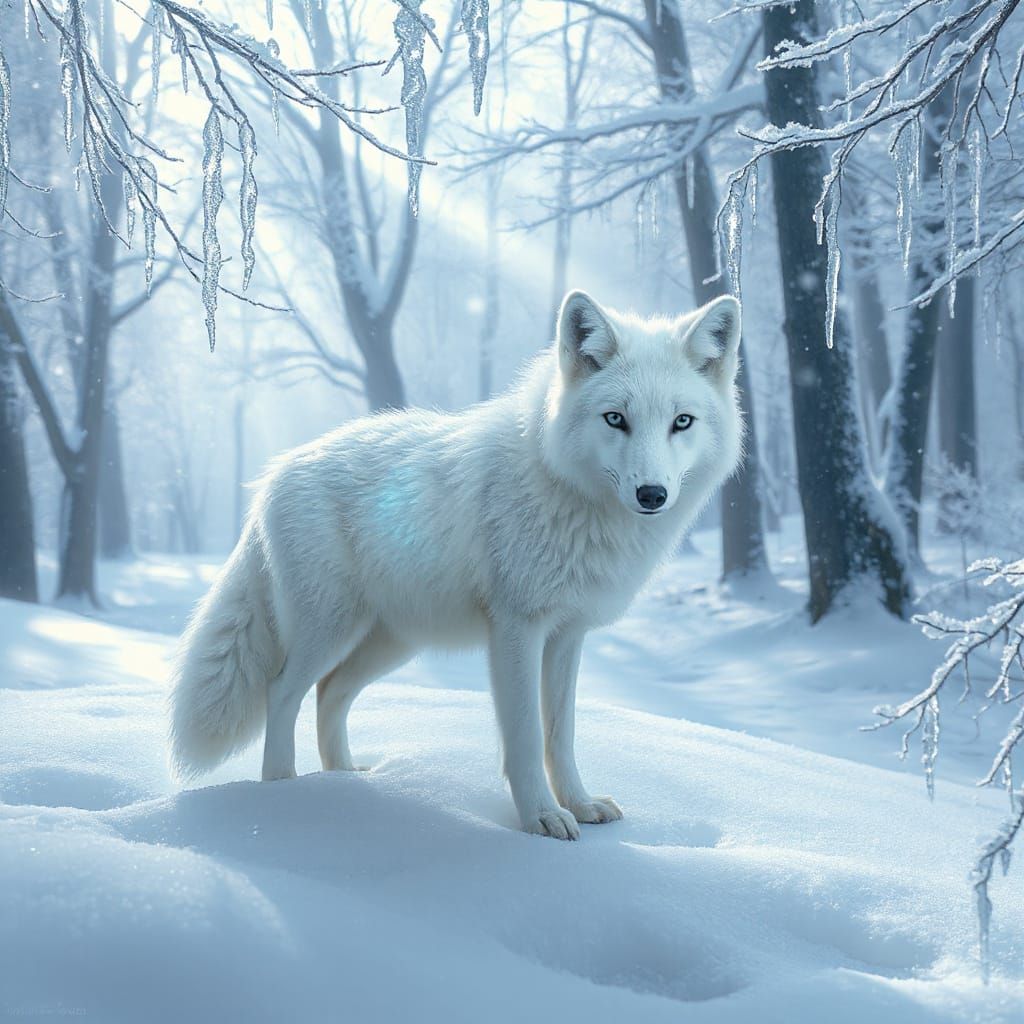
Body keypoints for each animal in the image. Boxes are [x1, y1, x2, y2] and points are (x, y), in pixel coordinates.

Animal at [169, 290, 744, 839]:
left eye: (681, 422)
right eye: (616, 419)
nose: (652, 494)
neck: (565, 492)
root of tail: (273, 474)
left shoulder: (568, 635)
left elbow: (561, 733)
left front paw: (579, 805)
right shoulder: (517, 628)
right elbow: (526, 735)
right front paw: (541, 819)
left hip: (391, 642)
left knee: (330, 694)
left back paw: (343, 781)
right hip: (330, 630)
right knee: (282, 691)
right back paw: (285, 793)